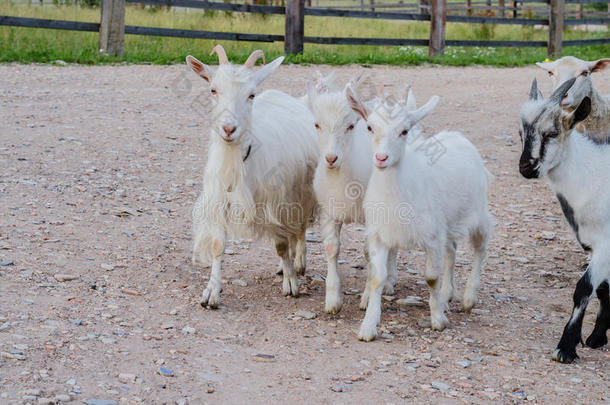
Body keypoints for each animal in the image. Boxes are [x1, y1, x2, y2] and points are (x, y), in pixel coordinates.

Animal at [188, 45, 316, 306]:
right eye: (213, 90)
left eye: (251, 95)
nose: (228, 129)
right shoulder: (220, 201)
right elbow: (217, 245)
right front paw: (211, 291)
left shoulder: (276, 203)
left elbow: (281, 244)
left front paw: (291, 283)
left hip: (301, 192)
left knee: (298, 229)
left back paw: (298, 262)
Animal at [304, 78, 422, 312]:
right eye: (317, 124)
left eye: (350, 125)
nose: (331, 158)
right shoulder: (328, 211)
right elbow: (331, 248)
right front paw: (332, 300)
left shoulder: (372, 216)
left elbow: (370, 254)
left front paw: (367, 298)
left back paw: (389, 282)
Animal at [516, 76, 608, 362]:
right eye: (521, 134)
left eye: (551, 133)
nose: (526, 168)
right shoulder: (591, 243)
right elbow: (602, 288)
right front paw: (597, 337)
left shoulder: (606, 243)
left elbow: (584, 289)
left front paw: (566, 347)